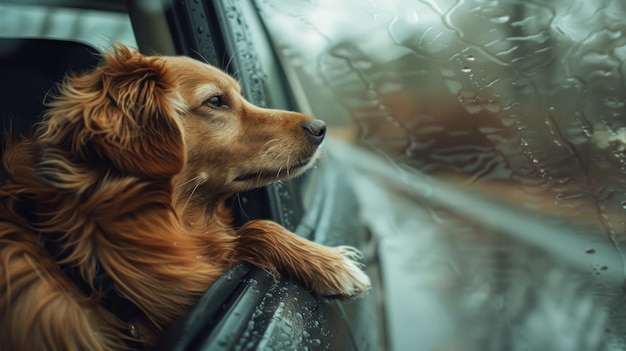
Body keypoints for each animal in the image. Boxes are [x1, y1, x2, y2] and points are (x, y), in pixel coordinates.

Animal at [0, 46, 370, 351]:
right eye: (216, 101)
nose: (320, 128)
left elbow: (252, 230)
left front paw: (324, 260)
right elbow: (255, 229)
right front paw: (330, 262)